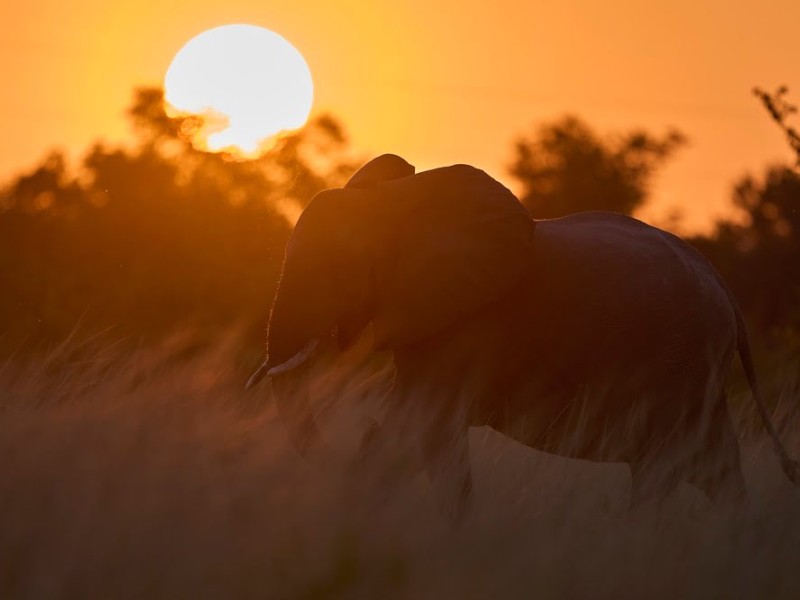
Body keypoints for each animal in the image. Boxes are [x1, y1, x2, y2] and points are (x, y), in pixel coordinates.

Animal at [247, 153, 799, 519]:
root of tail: (727, 294)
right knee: (710, 465)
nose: (356, 432)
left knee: (664, 466)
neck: (399, 202)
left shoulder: (470, 322)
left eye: (338, 267)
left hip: (677, 363)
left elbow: (426, 427)